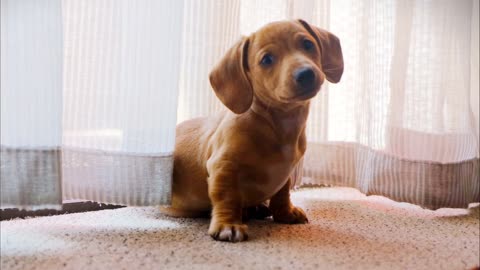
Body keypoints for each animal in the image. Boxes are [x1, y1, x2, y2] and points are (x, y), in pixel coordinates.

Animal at [168, 19, 342, 243]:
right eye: (267, 59)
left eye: (308, 44)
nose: (305, 74)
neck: (277, 124)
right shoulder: (223, 166)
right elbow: (227, 197)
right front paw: (228, 224)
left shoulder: (285, 173)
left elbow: (282, 193)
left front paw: (285, 213)